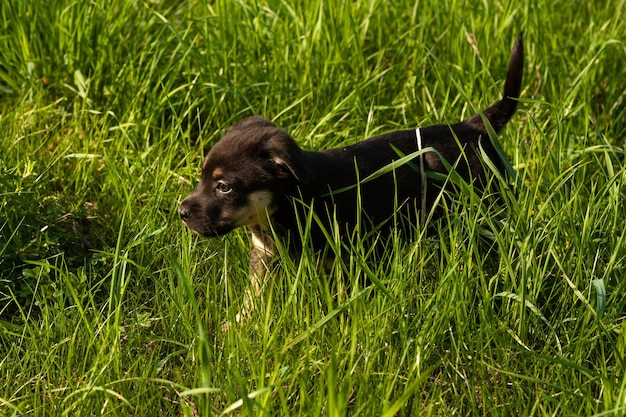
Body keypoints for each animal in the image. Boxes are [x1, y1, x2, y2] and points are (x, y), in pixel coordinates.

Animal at [179, 33, 520, 318]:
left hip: (487, 209)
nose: (181, 211)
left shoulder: (341, 260)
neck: (288, 206)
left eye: (223, 187)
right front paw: (235, 327)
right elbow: (253, 296)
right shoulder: (264, 256)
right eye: (202, 177)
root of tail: (472, 127)